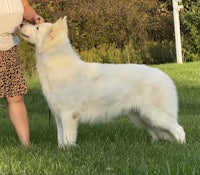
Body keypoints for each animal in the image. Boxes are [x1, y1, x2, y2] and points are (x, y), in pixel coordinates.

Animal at [19, 17, 185, 147]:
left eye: (37, 27)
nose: (20, 24)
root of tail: (165, 76)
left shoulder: (68, 114)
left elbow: (68, 138)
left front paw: (68, 152)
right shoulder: (58, 116)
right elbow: (61, 139)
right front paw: (61, 151)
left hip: (154, 115)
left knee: (179, 129)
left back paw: (181, 147)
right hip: (141, 117)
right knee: (157, 133)